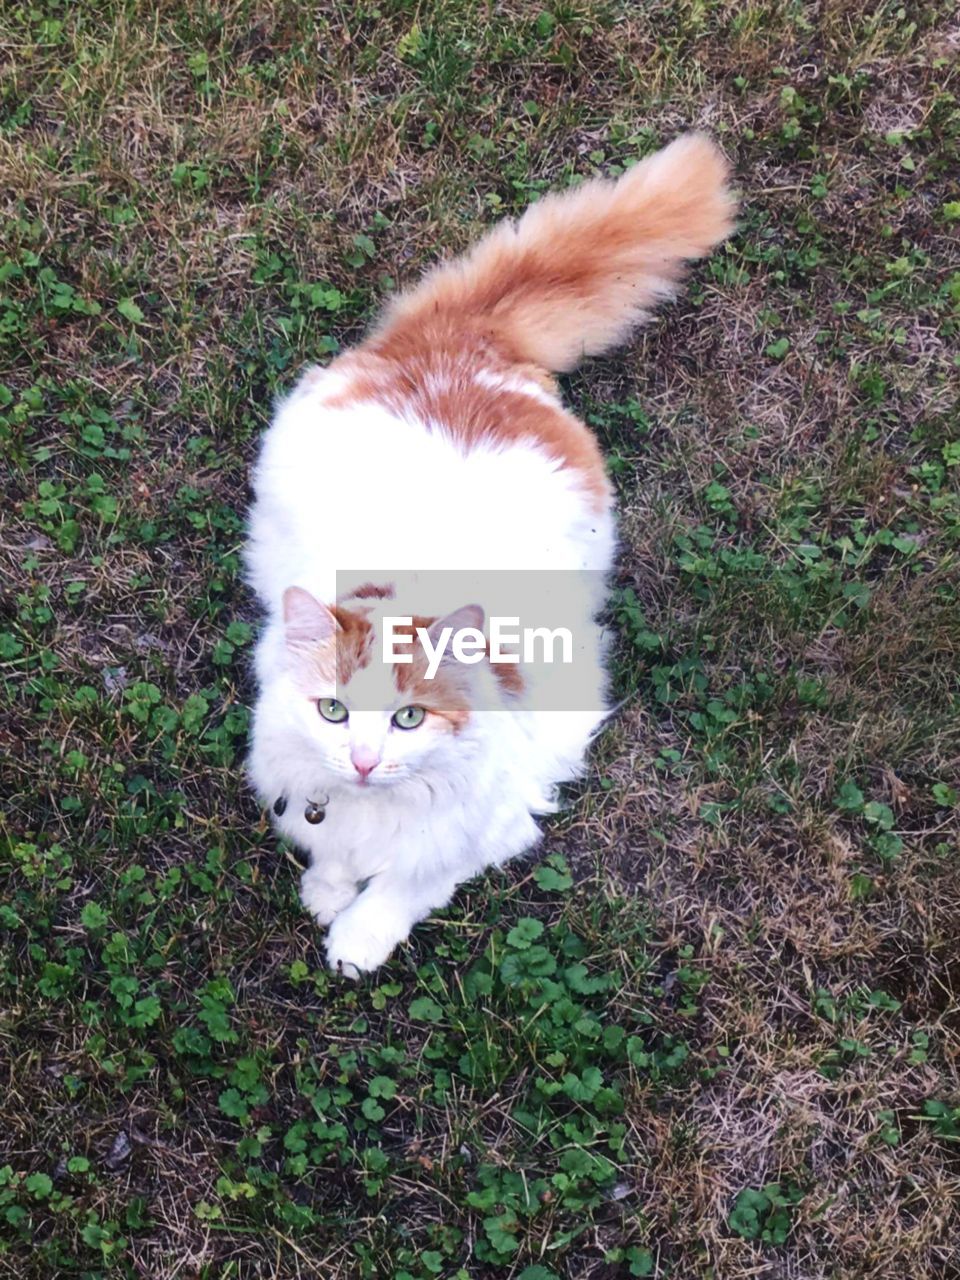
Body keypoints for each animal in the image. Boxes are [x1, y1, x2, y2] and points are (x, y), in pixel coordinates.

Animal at [241, 132, 737, 967]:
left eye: (410, 719)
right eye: (335, 712)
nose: (364, 762)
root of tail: (461, 341)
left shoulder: (494, 819)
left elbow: (409, 885)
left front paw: (356, 941)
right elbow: (333, 849)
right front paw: (328, 892)